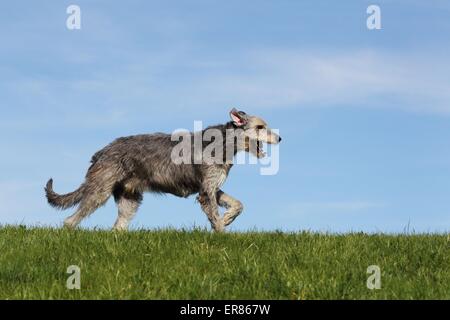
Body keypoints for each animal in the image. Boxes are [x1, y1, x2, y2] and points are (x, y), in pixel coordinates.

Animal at [44, 109, 280, 231]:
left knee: (117, 227)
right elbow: (215, 215)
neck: (223, 144)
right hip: (99, 191)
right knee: (70, 220)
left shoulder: (212, 187)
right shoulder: (206, 191)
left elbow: (237, 204)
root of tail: (102, 151)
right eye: (260, 127)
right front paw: (223, 231)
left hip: (129, 199)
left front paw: (228, 218)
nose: (279, 138)